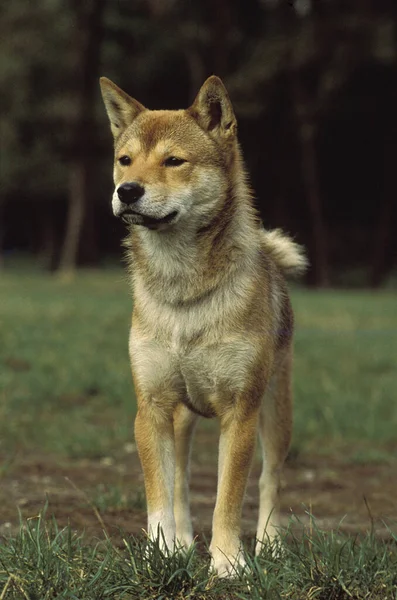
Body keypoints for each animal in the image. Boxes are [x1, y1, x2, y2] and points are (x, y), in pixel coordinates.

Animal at [99, 75, 306, 576]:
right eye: (125, 160)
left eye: (174, 161)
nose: (127, 190)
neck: (183, 295)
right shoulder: (152, 407)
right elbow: (161, 494)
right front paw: (162, 554)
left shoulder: (241, 411)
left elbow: (228, 498)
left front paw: (228, 564)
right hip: (182, 418)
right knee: (181, 483)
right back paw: (181, 542)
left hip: (277, 411)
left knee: (271, 479)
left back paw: (270, 545)